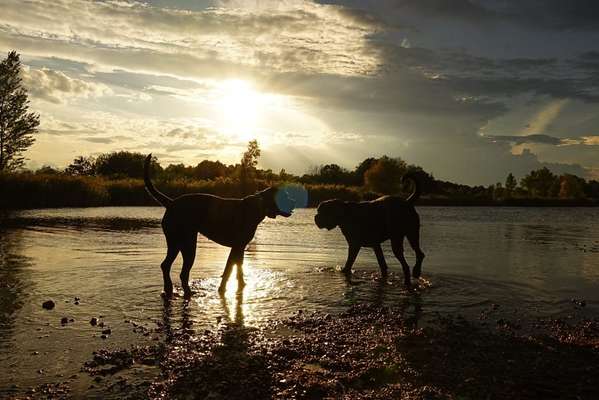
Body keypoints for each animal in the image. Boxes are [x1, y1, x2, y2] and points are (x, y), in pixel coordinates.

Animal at [145, 155, 296, 298]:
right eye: (286, 196)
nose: (294, 201)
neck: (259, 205)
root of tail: (171, 203)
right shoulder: (236, 247)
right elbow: (229, 269)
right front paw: (223, 288)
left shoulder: (240, 248)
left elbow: (238, 268)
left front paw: (241, 285)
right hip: (187, 245)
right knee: (181, 272)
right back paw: (186, 292)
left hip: (176, 244)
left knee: (166, 266)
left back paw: (169, 289)